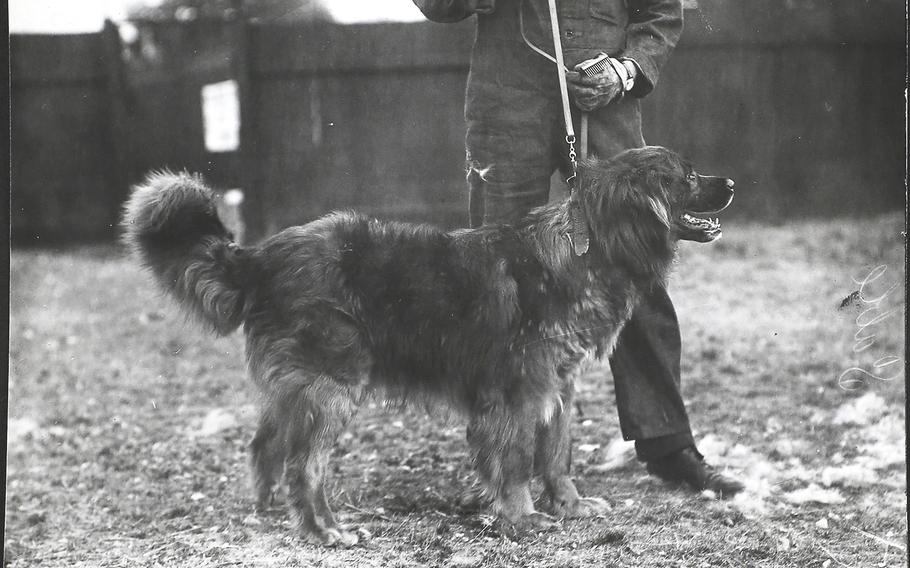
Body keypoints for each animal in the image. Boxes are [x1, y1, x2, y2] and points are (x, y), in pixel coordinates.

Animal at [121, 145, 732, 544]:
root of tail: (259, 257)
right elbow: (516, 462)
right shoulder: (518, 393)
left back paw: (274, 515)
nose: (729, 185)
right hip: (332, 386)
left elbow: (557, 455)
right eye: (686, 176)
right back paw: (326, 531)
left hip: (299, 388)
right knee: (303, 466)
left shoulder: (558, 386)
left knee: (264, 447)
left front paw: (571, 507)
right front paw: (524, 517)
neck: (586, 244)